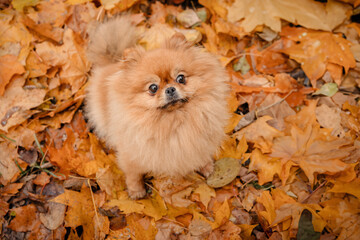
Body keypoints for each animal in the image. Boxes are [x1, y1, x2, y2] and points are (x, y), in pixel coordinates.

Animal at [86, 16, 229, 199]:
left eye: (181, 78)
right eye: (153, 88)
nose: (170, 89)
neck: (173, 121)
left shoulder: (198, 142)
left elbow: (199, 155)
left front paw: (206, 167)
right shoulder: (132, 154)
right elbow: (133, 174)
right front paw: (136, 191)